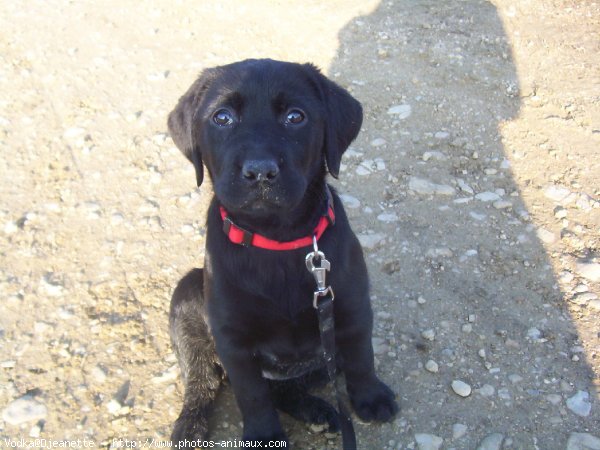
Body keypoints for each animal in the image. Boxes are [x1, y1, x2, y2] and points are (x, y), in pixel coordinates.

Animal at [168, 59, 398, 446]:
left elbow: (361, 358)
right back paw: (191, 423)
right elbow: (252, 395)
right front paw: (263, 435)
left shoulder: (351, 307)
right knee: (204, 379)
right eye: (222, 117)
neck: (278, 241)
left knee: (287, 388)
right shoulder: (233, 340)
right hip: (187, 297)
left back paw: (317, 410)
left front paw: (371, 396)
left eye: (295, 117)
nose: (260, 171)